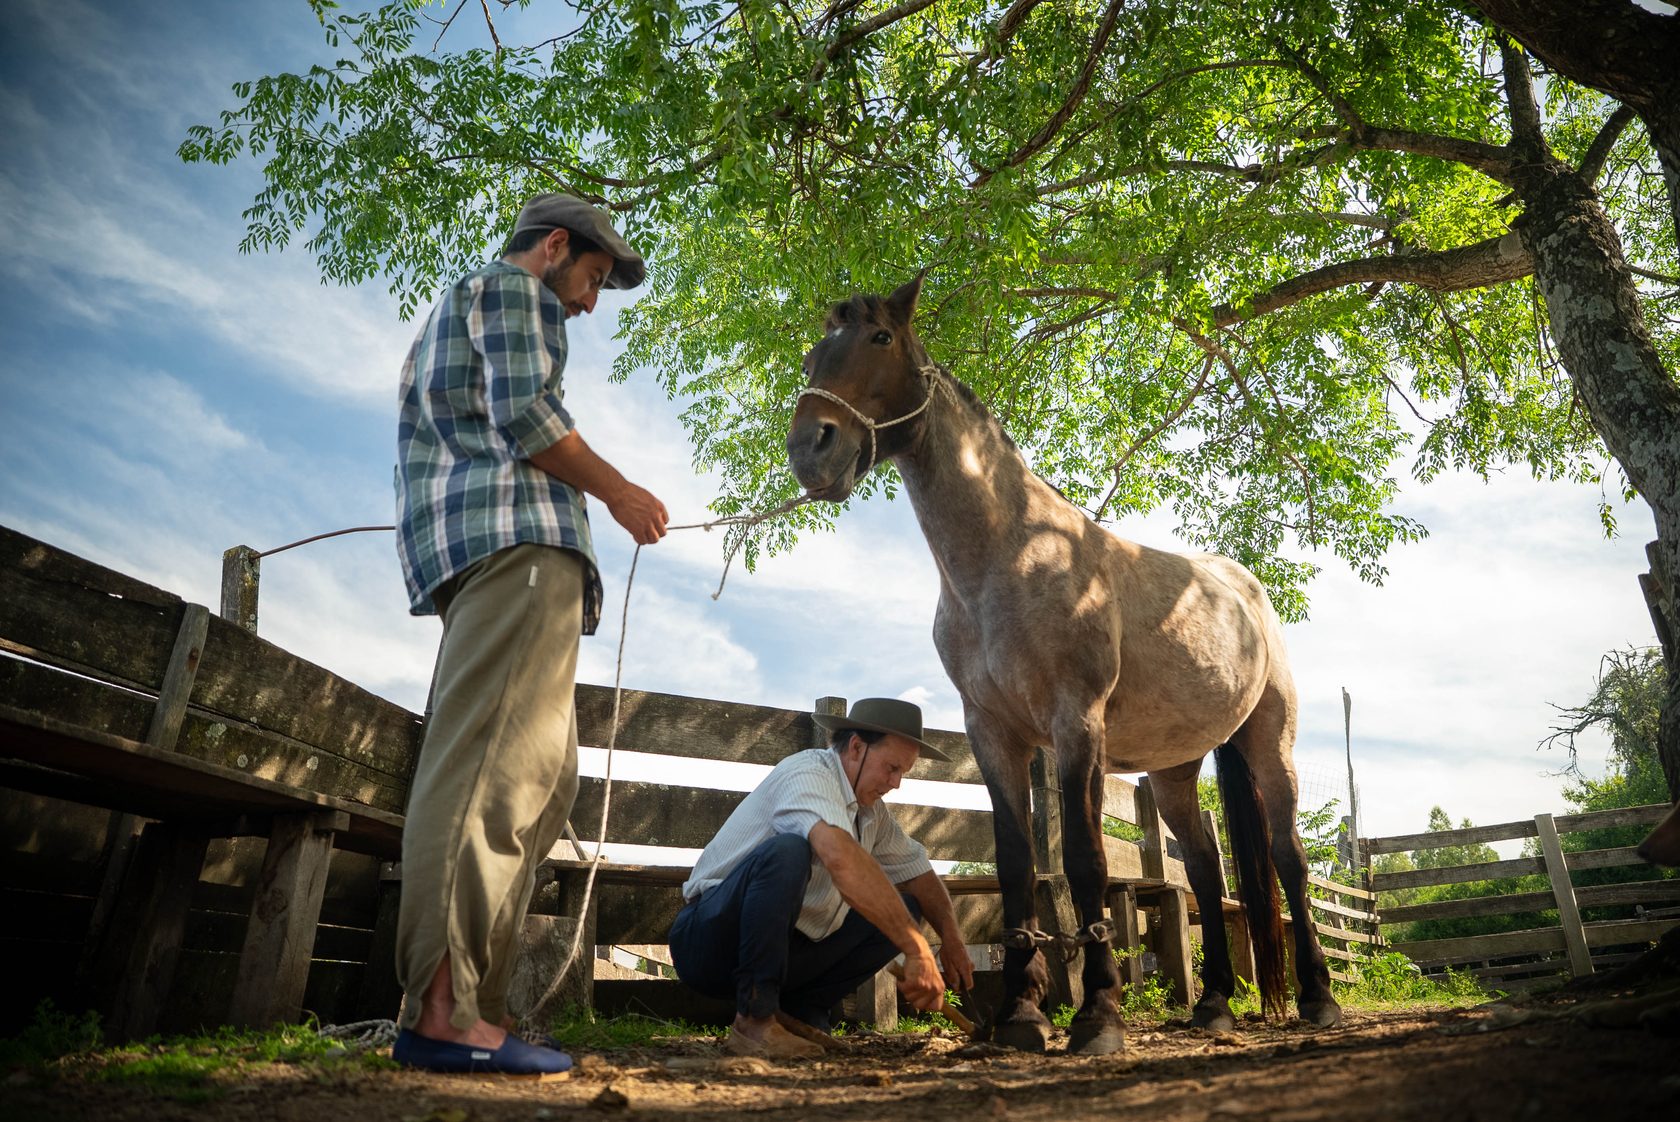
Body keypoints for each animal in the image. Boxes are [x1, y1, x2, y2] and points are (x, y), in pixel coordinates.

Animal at [786, 275, 1342, 1054]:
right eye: (814, 353)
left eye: (880, 338)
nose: (811, 448)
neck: (1010, 559)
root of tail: (1245, 589)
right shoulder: (995, 734)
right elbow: (1018, 863)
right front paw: (1022, 1013)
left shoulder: (1075, 725)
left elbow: (1084, 860)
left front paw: (1098, 1015)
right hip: (1174, 771)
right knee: (1204, 868)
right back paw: (1213, 1005)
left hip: (1269, 744)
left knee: (1289, 858)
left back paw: (1320, 998)